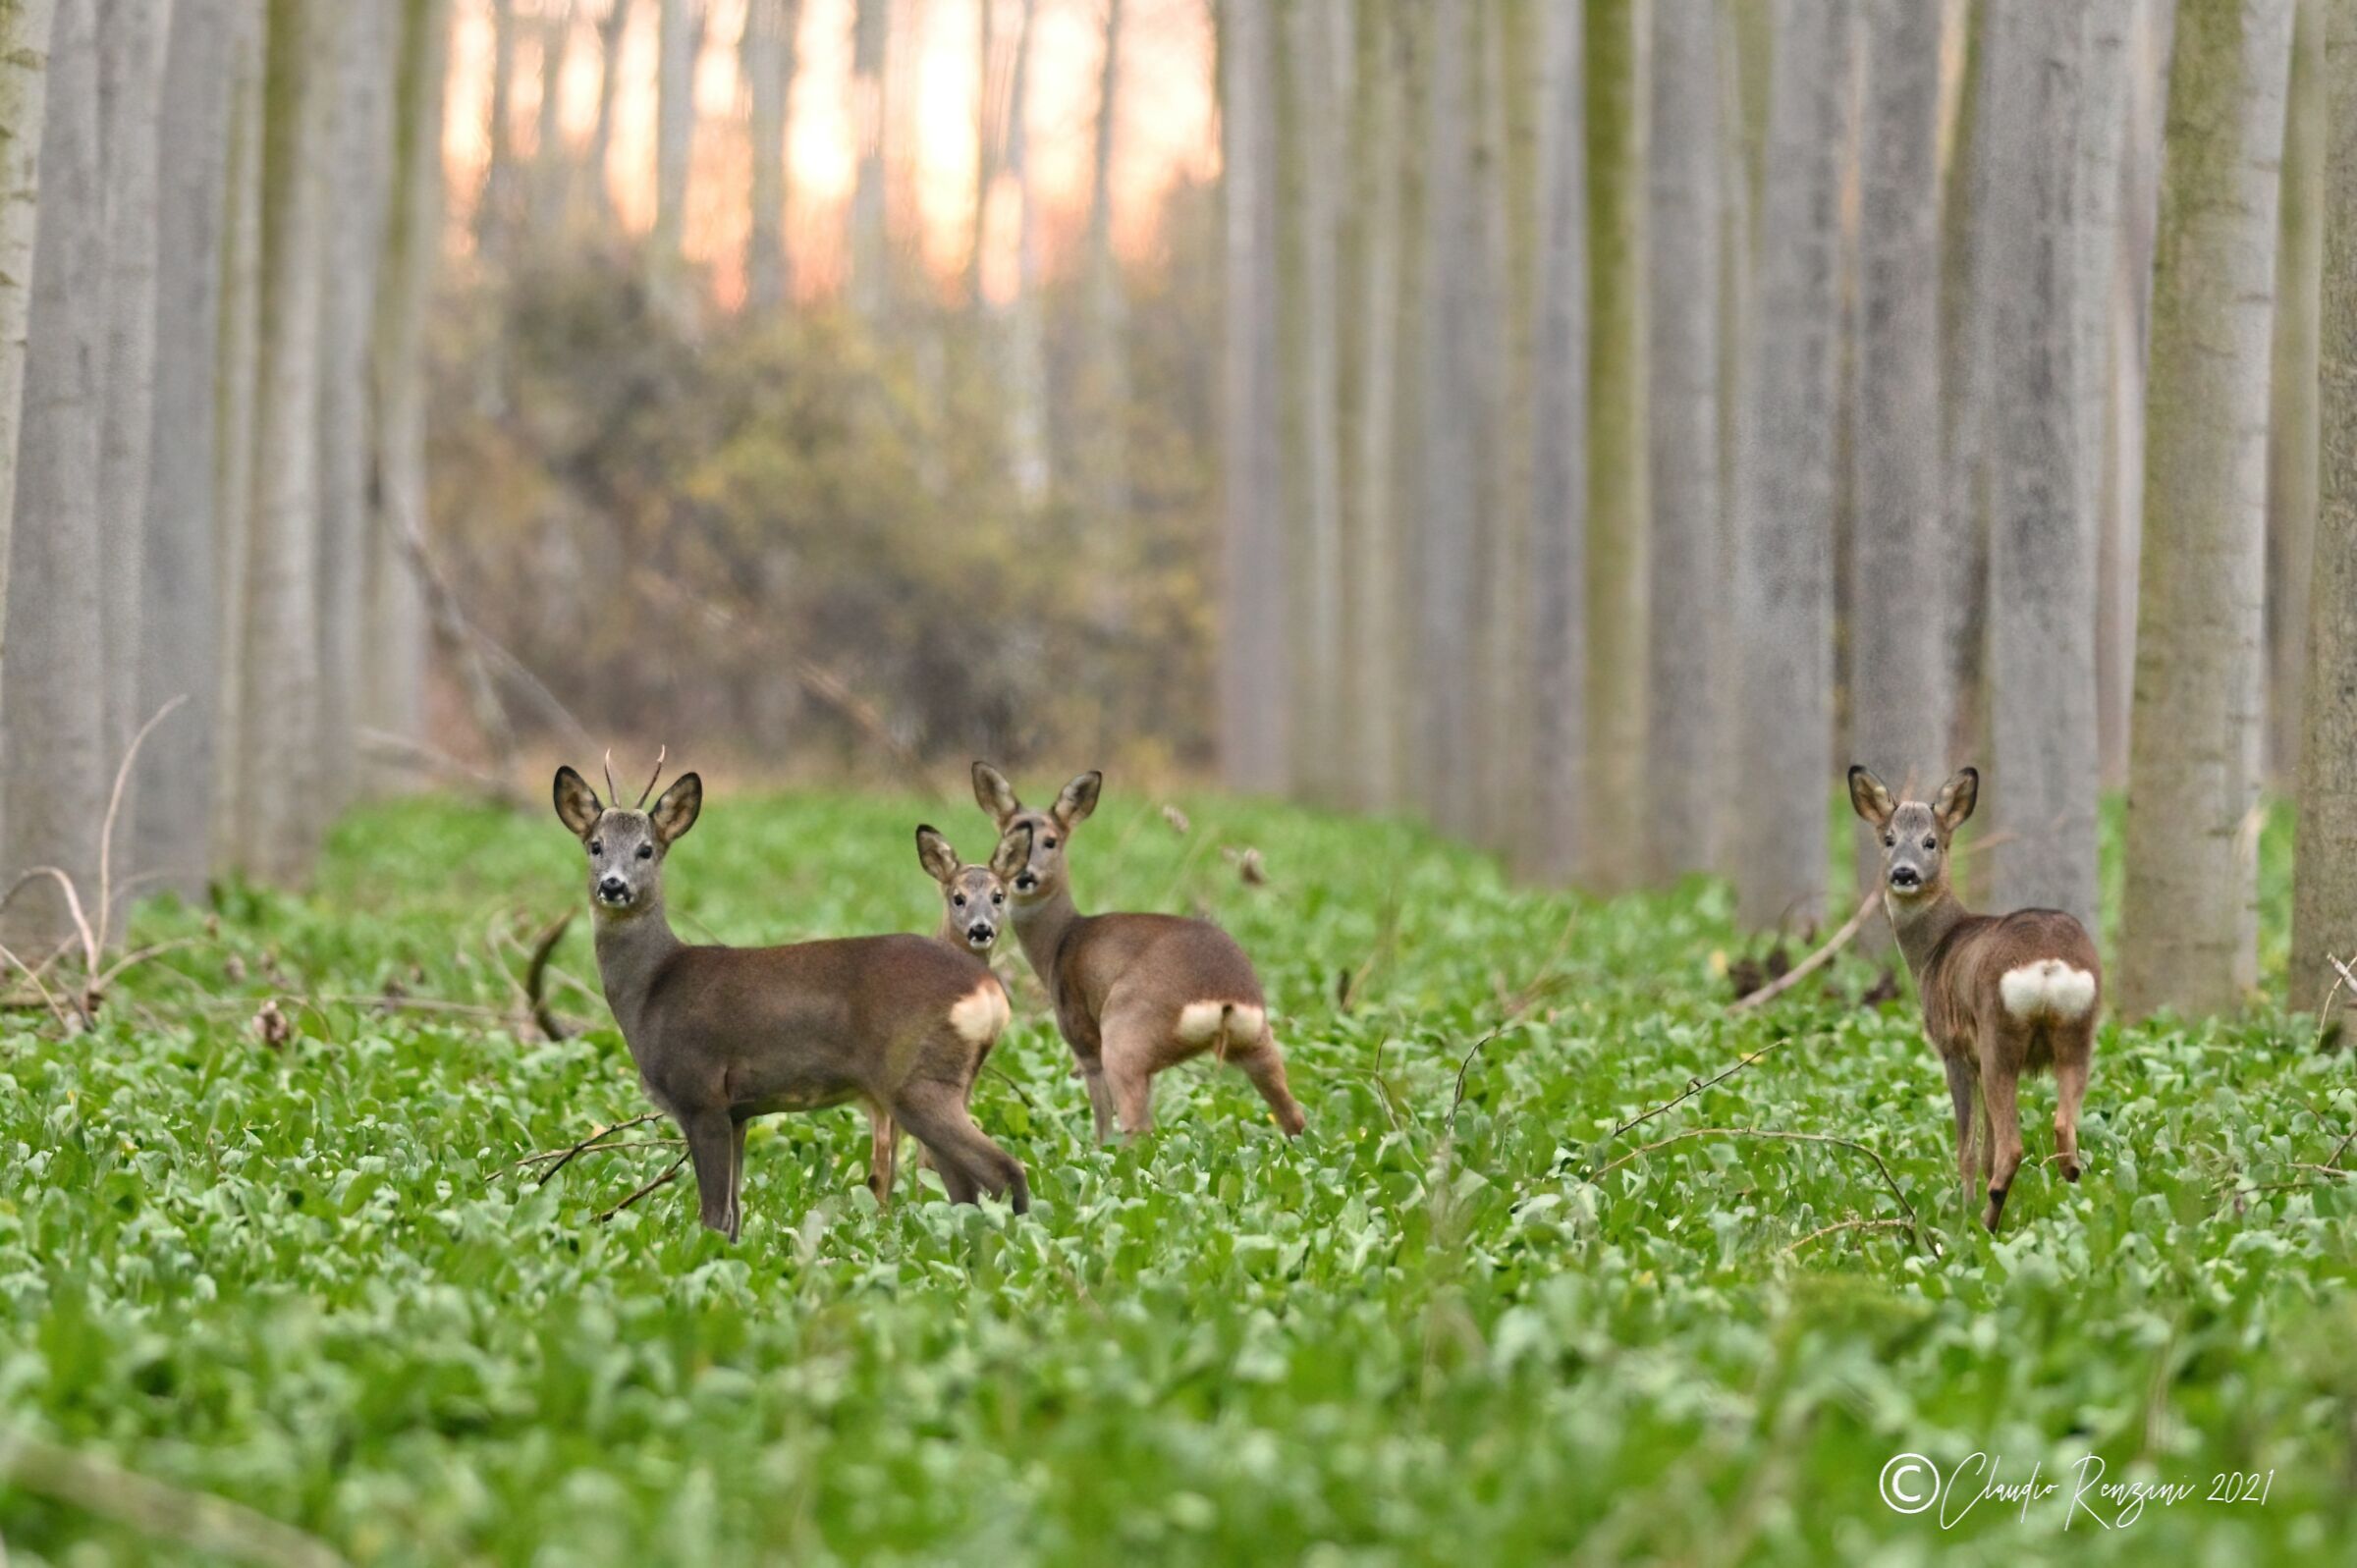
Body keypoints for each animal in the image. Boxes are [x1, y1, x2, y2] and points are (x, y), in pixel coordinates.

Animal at [552, 754, 1029, 1240]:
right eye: (595, 845)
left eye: (646, 849)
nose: (613, 885)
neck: (653, 988)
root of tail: (988, 989)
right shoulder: (738, 1111)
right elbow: (734, 1215)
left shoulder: (700, 1092)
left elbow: (713, 1216)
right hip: (947, 1083)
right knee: (964, 1190)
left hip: (916, 1079)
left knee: (1005, 1170)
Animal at [971, 763, 1307, 1142]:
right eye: (1007, 837)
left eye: (1051, 841)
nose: (1024, 877)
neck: (1060, 941)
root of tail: (1225, 1000)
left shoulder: (1083, 1037)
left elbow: (1103, 1121)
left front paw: (1096, 1149)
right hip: (1256, 1040)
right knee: (1293, 1114)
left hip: (1125, 1036)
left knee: (1136, 1126)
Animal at [1848, 765, 2098, 1234]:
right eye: (1889, 839)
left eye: (1931, 841)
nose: (1904, 873)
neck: (1934, 949)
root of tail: (2048, 963)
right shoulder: (1977, 1059)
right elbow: (1984, 1150)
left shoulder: (1955, 1049)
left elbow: (1967, 1147)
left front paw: (1961, 1207)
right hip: (2078, 1032)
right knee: (2062, 1127)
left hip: (1999, 1034)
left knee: (2014, 1146)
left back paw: (1986, 1220)